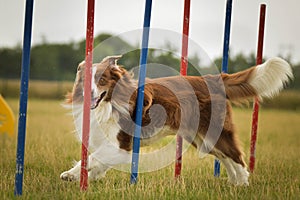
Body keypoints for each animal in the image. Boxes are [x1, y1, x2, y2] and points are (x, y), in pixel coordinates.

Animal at [61, 55, 292, 186]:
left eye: (101, 80)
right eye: (85, 80)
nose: (90, 94)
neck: (107, 103)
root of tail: (212, 79)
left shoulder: (121, 145)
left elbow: (92, 158)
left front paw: (71, 175)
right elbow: (96, 161)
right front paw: (85, 178)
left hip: (214, 133)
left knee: (236, 156)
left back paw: (243, 183)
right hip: (202, 138)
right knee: (225, 157)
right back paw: (234, 184)